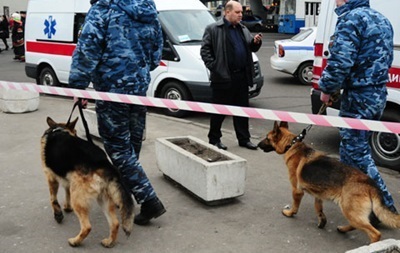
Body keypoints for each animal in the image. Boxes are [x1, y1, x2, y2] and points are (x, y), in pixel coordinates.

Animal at [40, 116, 134, 247]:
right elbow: (67, 194)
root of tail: (104, 164)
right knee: (115, 223)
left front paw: (58, 214)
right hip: (103, 199)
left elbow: (53, 199)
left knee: (87, 227)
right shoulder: (68, 182)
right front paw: (67, 207)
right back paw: (109, 242)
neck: (58, 130)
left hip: (78, 199)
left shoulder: (51, 178)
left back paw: (75, 241)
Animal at [258, 121, 400, 244]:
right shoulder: (318, 194)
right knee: (359, 225)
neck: (292, 144)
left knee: (375, 233)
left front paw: (290, 213)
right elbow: (318, 208)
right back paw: (343, 229)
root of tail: (370, 184)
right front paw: (322, 221)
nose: (257, 145)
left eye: (267, 138)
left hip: (350, 211)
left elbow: (295, 206)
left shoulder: (296, 191)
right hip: (352, 213)